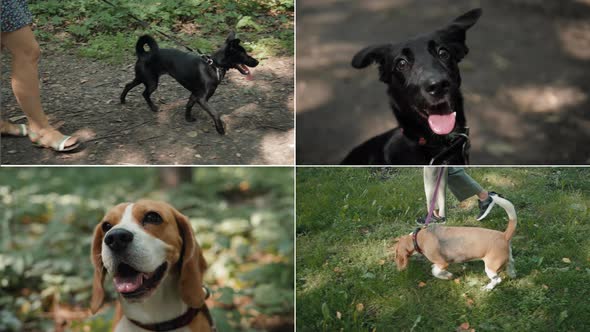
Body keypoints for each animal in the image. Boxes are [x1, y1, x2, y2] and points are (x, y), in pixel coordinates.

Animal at [121, 31, 260, 134]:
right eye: (243, 54)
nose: (257, 62)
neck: (214, 65)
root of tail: (143, 54)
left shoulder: (195, 95)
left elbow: (188, 105)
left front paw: (188, 118)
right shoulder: (202, 98)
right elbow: (215, 113)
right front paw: (220, 129)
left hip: (141, 78)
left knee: (128, 85)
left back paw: (122, 100)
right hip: (151, 82)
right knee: (144, 93)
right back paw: (153, 107)